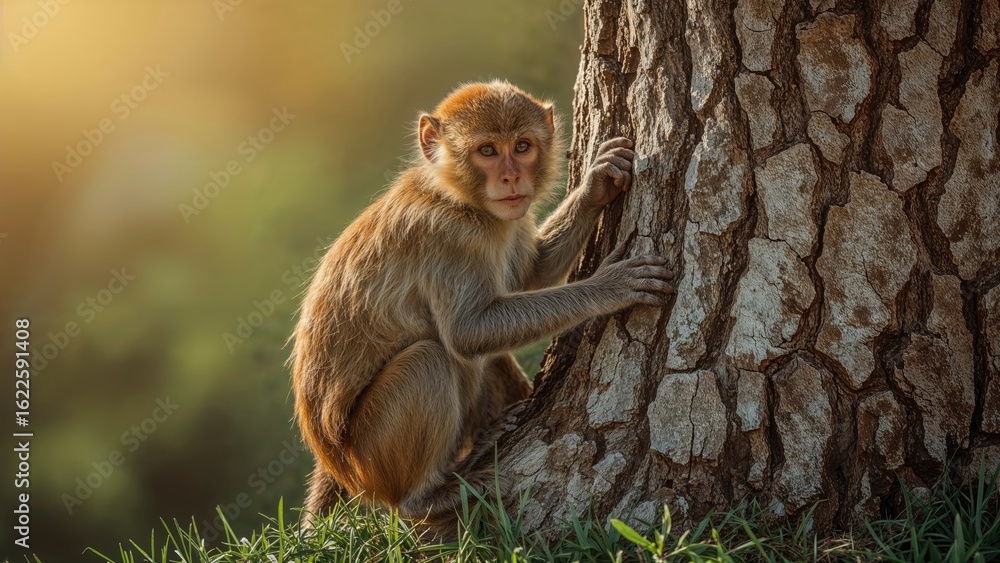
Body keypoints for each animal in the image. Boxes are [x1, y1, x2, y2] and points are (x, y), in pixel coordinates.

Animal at [290, 80, 674, 536]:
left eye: (522, 146)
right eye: (487, 151)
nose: (511, 176)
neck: (456, 196)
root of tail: (336, 462)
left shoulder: (507, 217)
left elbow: (529, 276)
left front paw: (595, 184)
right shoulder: (450, 237)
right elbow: (467, 331)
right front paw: (609, 286)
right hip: (371, 456)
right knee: (431, 358)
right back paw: (422, 498)